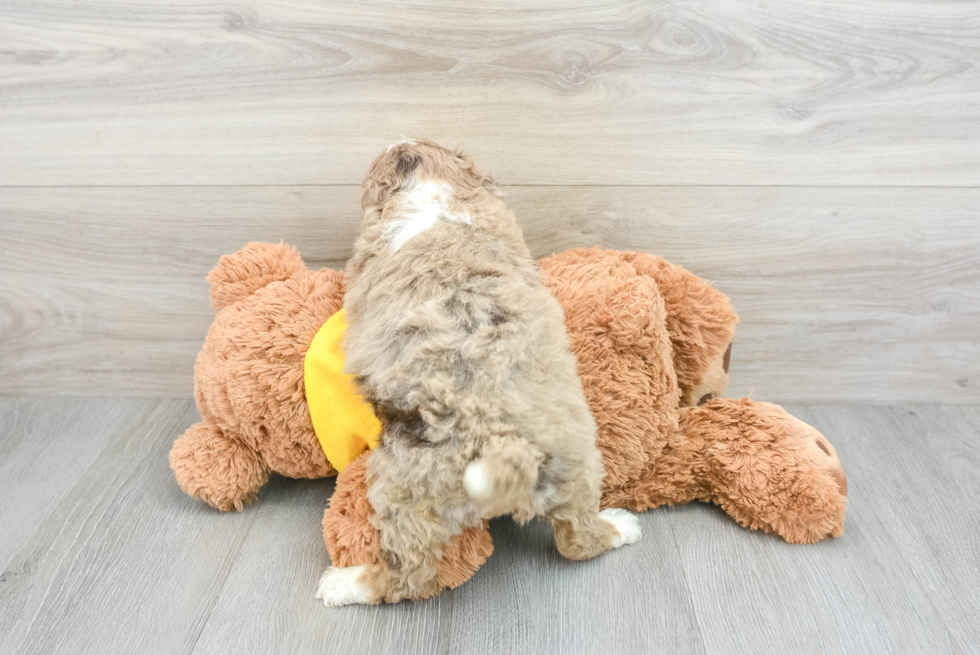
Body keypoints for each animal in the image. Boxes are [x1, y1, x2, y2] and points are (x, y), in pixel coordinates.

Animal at [316, 141, 644, 608]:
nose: (395, 142)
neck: (435, 196)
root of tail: (502, 445)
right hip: (578, 463)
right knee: (577, 541)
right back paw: (620, 526)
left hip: (403, 492)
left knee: (409, 578)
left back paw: (346, 582)